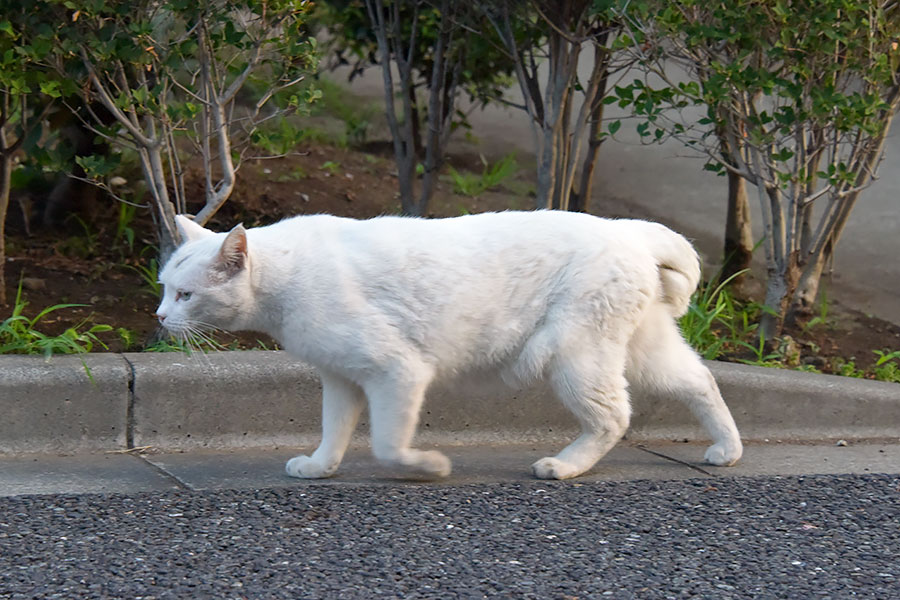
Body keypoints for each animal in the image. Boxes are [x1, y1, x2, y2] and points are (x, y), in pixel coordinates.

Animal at [156, 211, 744, 478]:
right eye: (164, 287)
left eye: (185, 295)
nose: (160, 317)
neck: (283, 278)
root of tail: (630, 228)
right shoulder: (342, 377)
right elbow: (334, 431)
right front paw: (320, 468)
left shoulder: (397, 369)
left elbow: (387, 444)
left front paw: (430, 466)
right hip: (641, 348)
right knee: (699, 380)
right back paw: (727, 450)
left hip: (573, 355)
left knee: (613, 417)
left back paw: (564, 466)